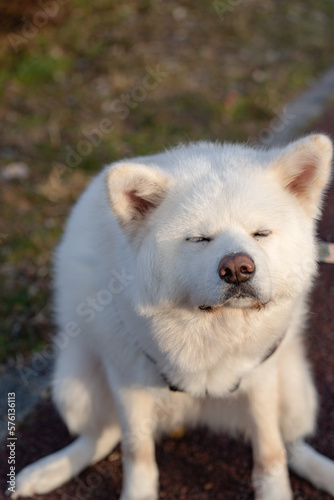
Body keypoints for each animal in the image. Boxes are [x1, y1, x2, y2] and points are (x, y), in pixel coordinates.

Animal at [14, 135, 334, 498]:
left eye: (261, 233)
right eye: (199, 239)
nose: (237, 269)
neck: (210, 329)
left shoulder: (260, 377)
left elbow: (270, 451)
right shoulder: (126, 380)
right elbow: (136, 452)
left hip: (297, 392)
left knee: (291, 444)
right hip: (74, 387)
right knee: (102, 436)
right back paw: (47, 471)